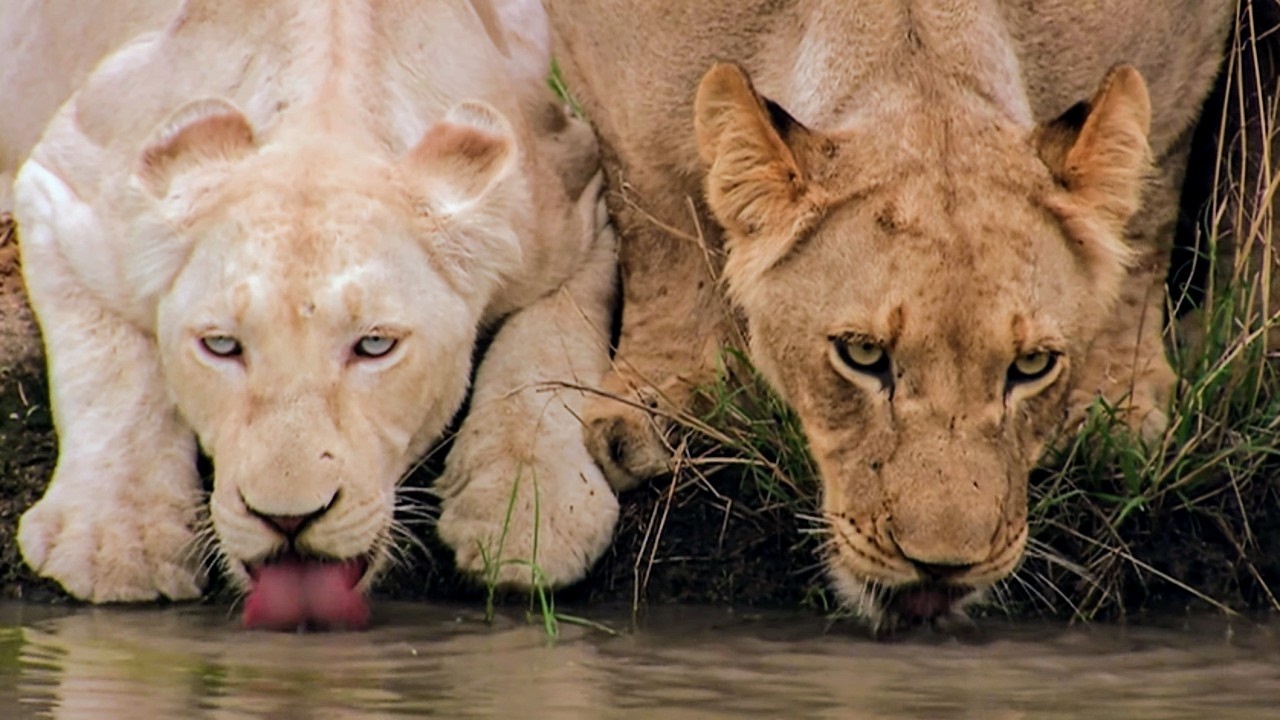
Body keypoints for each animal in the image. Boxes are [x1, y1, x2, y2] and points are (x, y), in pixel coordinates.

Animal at [0, 0, 619, 627]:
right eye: (221, 345)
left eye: (375, 345)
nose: (288, 519)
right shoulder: (64, 181)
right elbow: (110, 374)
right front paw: (116, 543)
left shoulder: (579, 197)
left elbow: (549, 350)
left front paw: (529, 515)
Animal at [545, 0, 1244, 622]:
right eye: (862, 354)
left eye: (1032, 365)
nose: (941, 568)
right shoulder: (610, 75)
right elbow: (657, 221)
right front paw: (662, 406)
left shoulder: (1179, 56)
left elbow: (1148, 217)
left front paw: (1115, 410)